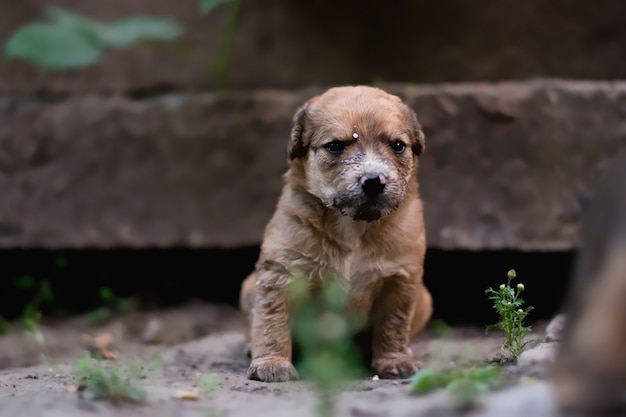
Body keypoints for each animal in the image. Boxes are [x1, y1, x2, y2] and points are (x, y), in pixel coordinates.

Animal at [236, 86, 432, 382]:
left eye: (397, 145)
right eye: (336, 145)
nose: (373, 181)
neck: (354, 227)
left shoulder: (401, 279)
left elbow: (393, 323)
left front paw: (394, 360)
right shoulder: (280, 271)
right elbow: (273, 319)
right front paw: (272, 363)